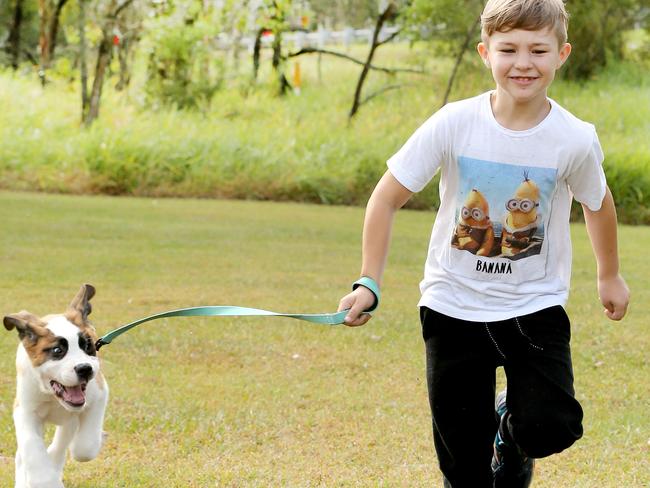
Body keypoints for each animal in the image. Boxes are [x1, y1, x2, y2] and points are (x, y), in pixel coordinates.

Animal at [4, 284, 107, 488]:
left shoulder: (99, 394)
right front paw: (45, 479)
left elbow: (85, 447)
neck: (52, 396)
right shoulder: (25, 411)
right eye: (58, 351)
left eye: (88, 346)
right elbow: (31, 447)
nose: (84, 368)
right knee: (23, 455)